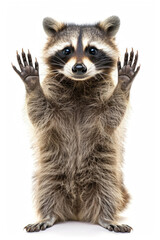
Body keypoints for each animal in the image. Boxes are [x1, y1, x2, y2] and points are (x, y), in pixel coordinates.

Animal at [12, 16, 140, 232]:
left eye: (92, 50)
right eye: (67, 50)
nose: (79, 68)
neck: (78, 84)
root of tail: (77, 210)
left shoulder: (103, 106)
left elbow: (112, 115)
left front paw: (122, 84)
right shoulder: (52, 104)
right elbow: (39, 113)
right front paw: (32, 84)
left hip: (104, 168)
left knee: (107, 191)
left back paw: (106, 217)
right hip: (50, 169)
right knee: (46, 190)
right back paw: (48, 215)